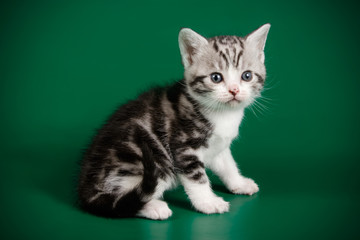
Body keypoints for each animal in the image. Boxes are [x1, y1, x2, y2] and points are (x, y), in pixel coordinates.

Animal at [78, 23, 270, 220]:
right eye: (216, 78)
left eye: (247, 76)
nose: (234, 90)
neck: (222, 114)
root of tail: (86, 188)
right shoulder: (183, 147)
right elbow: (197, 177)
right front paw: (208, 202)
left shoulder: (218, 146)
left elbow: (228, 165)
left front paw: (239, 183)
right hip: (151, 162)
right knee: (125, 198)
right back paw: (153, 206)